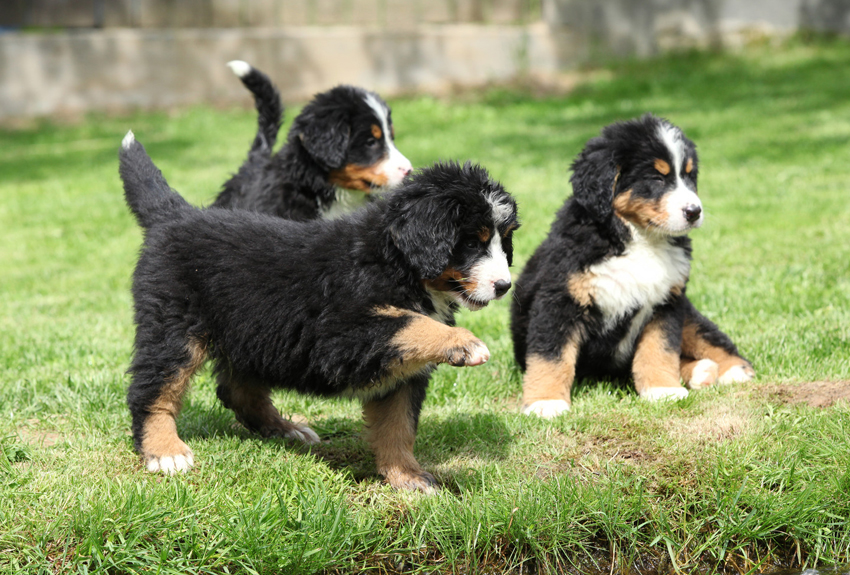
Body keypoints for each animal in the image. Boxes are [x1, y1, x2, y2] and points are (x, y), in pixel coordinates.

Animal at [117, 133, 516, 492]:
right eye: (471, 242)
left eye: (504, 241)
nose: (505, 286)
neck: (393, 261)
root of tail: (174, 215)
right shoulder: (343, 335)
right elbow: (411, 324)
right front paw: (463, 343)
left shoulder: (402, 372)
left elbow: (398, 427)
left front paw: (408, 476)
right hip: (173, 324)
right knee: (153, 389)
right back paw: (165, 452)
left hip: (251, 331)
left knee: (236, 389)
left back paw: (284, 428)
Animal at [506, 113, 752, 418]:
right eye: (657, 178)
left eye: (689, 176)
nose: (694, 212)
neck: (639, 240)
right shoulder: (559, 300)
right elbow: (550, 356)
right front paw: (546, 401)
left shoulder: (666, 303)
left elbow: (660, 350)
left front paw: (663, 390)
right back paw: (701, 371)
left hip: (688, 314)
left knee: (708, 337)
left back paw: (732, 370)